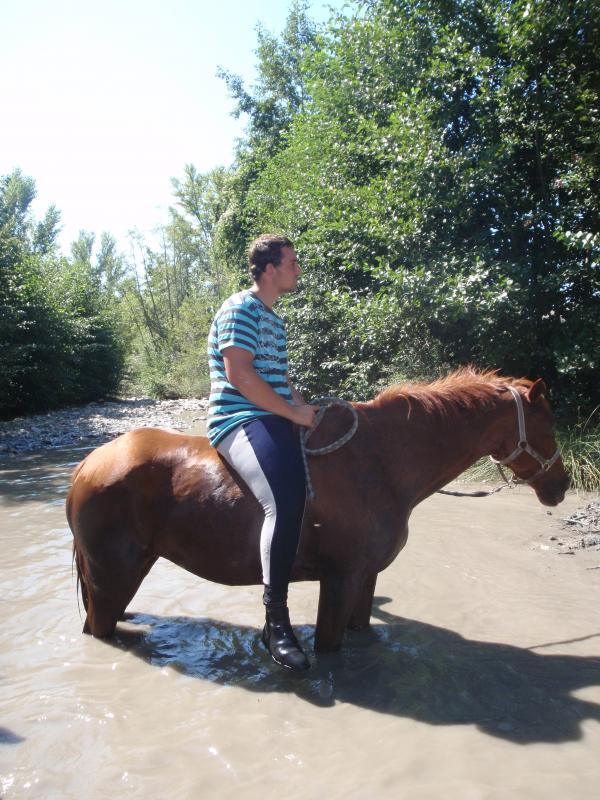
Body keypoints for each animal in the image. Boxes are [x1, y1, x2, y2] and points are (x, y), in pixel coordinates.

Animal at [65, 370, 568, 656]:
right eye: (548, 423)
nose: (561, 486)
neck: (380, 462)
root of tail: (88, 465)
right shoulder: (339, 579)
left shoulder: (365, 578)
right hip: (111, 580)